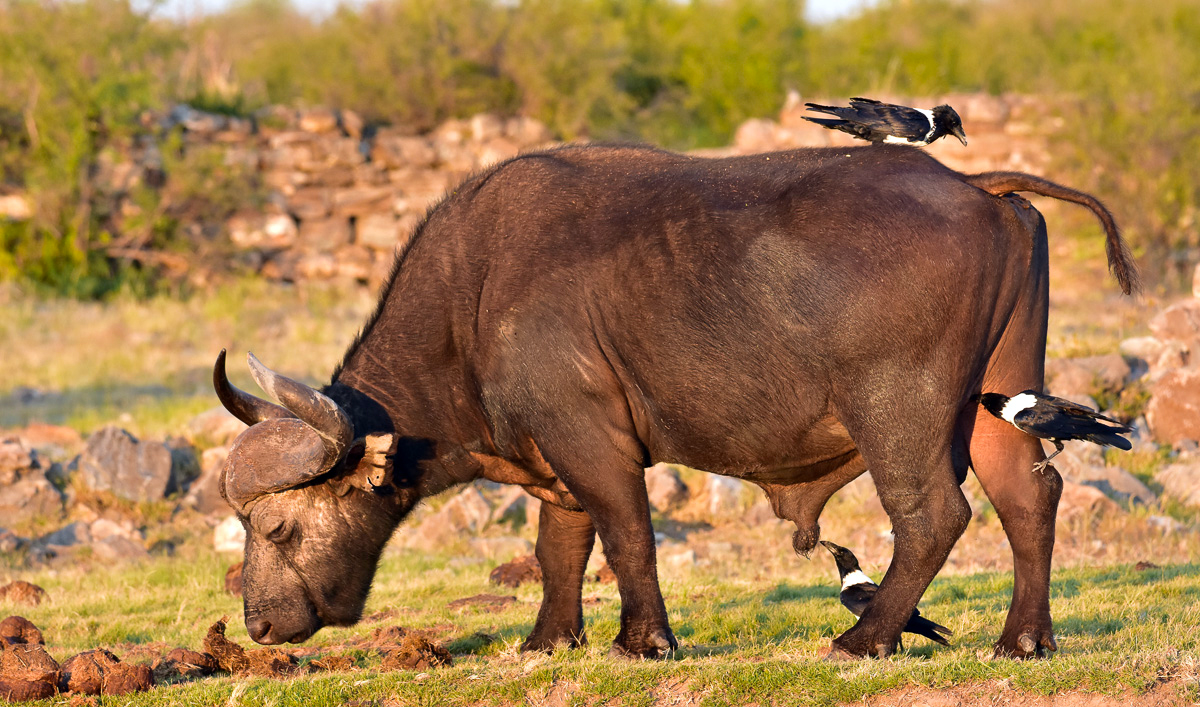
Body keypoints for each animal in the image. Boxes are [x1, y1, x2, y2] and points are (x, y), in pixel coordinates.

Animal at [214, 143, 1137, 659]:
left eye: (279, 527)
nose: (256, 626)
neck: (470, 304)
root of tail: (975, 186)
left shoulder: (593, 440)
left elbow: (627, 536)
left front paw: (643, 640)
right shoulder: (554, 456)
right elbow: (559, 547)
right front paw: (548, 639)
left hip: (898, 410)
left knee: (933, 516)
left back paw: (865, 638)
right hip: (1003, 397)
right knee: (1029, 497)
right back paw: (1023, 640)